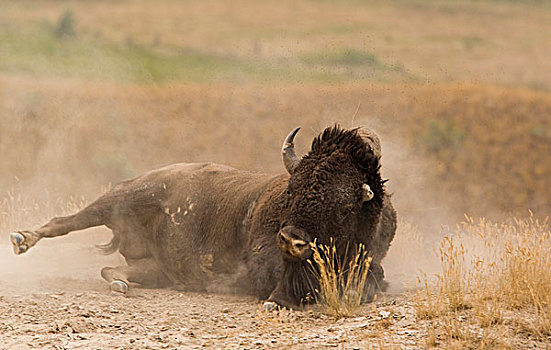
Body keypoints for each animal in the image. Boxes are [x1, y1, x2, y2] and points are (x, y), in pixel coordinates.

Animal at [9, 126, 396, 308]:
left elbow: (373, 281)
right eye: (292, 190)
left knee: (112, 268)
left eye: (343, 204)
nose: (291, 241)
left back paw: (121, 284)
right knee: (66, 222)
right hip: (119, 198)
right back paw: (20, 239)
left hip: (156, 267)